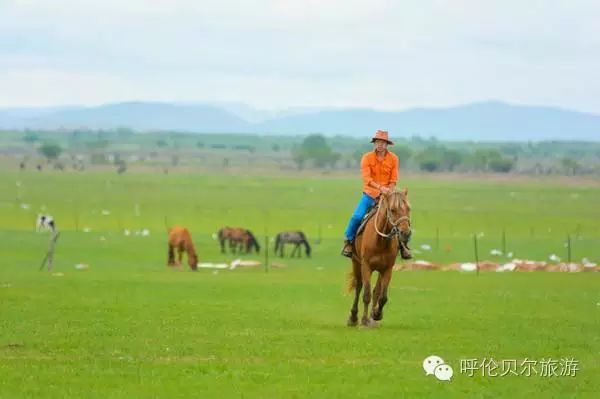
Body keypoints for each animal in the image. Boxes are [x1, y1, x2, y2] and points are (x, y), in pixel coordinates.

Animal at [346, 190, 412, 328]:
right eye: (392, 210)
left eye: (408, 208)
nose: (406, 233)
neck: (380, 241)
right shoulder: (366, 266)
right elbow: (366, 294)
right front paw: (364, 320)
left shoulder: (387, 269)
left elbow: (382, 296)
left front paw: (376, 314)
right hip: (356, 262)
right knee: (359, 287)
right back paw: (353, 317)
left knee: (376, 291)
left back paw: (372, 319)